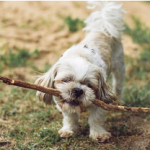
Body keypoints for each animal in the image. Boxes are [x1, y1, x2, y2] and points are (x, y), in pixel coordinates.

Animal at [35, 1, 125, 142]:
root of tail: (102, 29)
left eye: (89, 85)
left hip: (119, 68)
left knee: (119, 86)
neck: (79, 55)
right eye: (65, 80)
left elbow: (96, 119)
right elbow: (70, 118)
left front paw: (98, 134)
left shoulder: (99, 101)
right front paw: (69, 130)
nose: (77, 90)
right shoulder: (62, 102)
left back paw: (119, 102)